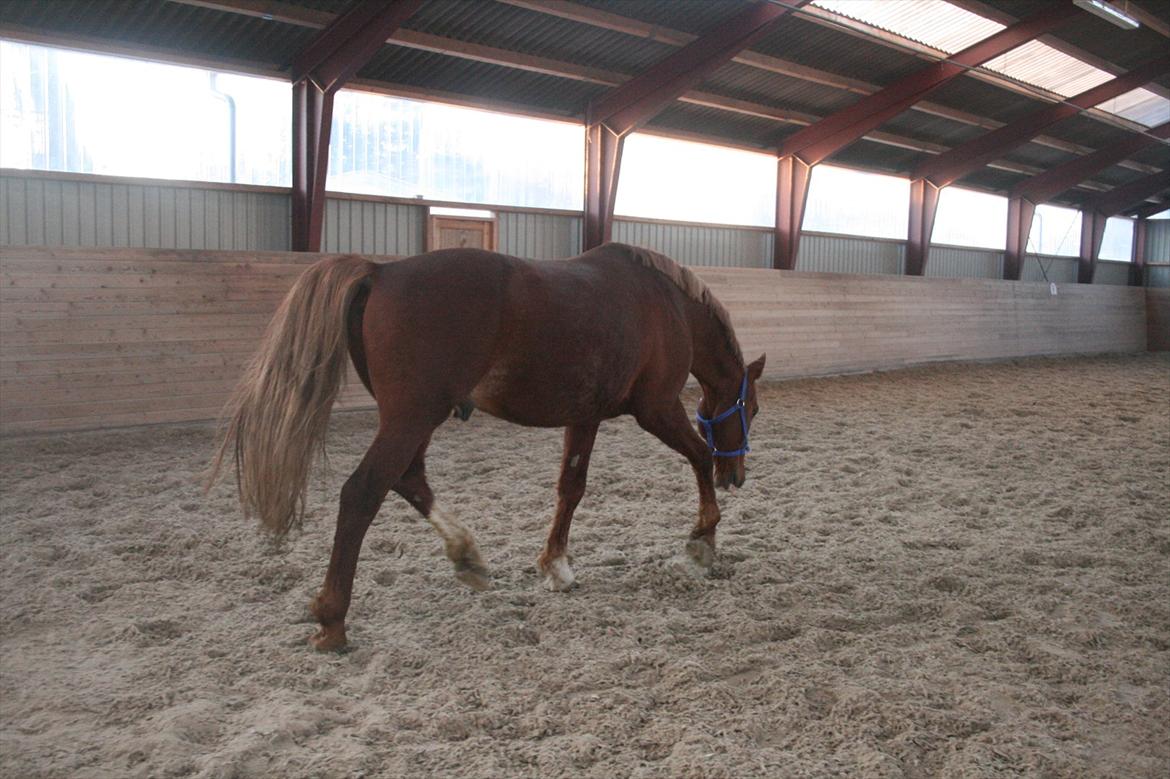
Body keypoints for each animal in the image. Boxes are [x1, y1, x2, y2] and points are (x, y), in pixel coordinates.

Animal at [209, 243, 762, 650]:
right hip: (413, 417)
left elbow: (572, 488)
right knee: (363, 492)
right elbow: (699, 454)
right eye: (751, 409)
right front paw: (702, 542)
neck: (666, 305)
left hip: (416, 418)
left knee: (409, 479)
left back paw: (466, 556)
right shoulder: (657, 409)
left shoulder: (584, 416)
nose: (737, 477)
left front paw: (556, 565)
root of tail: (380, 272)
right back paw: (333, 619)